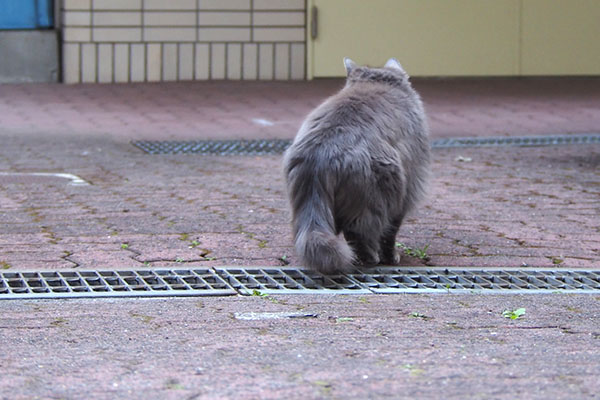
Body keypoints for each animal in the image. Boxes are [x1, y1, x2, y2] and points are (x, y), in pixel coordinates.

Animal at [284, 57, 428, 274]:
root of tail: (321, 153)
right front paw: (391, 257)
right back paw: (370, 258)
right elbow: (390, 233)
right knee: (361, 231)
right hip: (380, 195)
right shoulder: (406, 191)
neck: (375, 83)